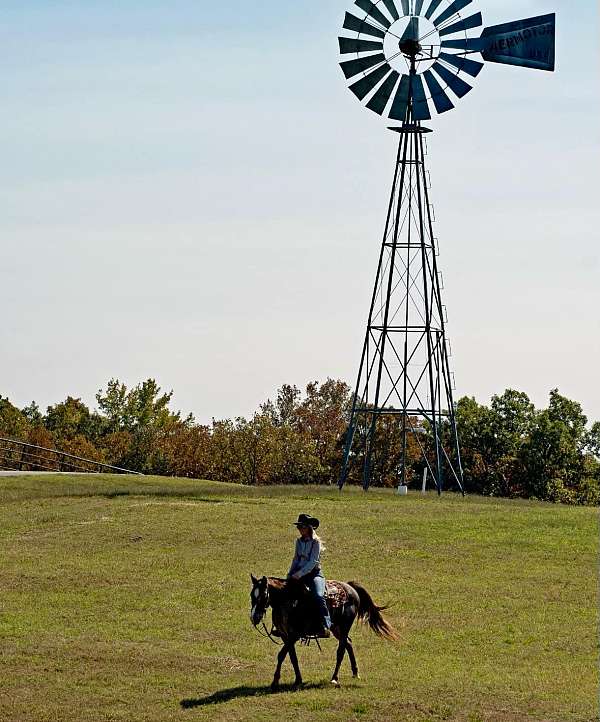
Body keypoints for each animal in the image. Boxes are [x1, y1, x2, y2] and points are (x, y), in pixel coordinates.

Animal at [248, 572, 398, 688]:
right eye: (251, 595)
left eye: (263, 595)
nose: (254, 617)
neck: (288, 601)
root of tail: (350, 587)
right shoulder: (286, 636)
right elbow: (292, 657)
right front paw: (297, 680)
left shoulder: (294, 635)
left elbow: (281, 655)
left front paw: (275, 681)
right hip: (336, 628)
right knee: (348, 643)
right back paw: (355, 673)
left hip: (344, 626)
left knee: (341, 650)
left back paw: (335, 678)